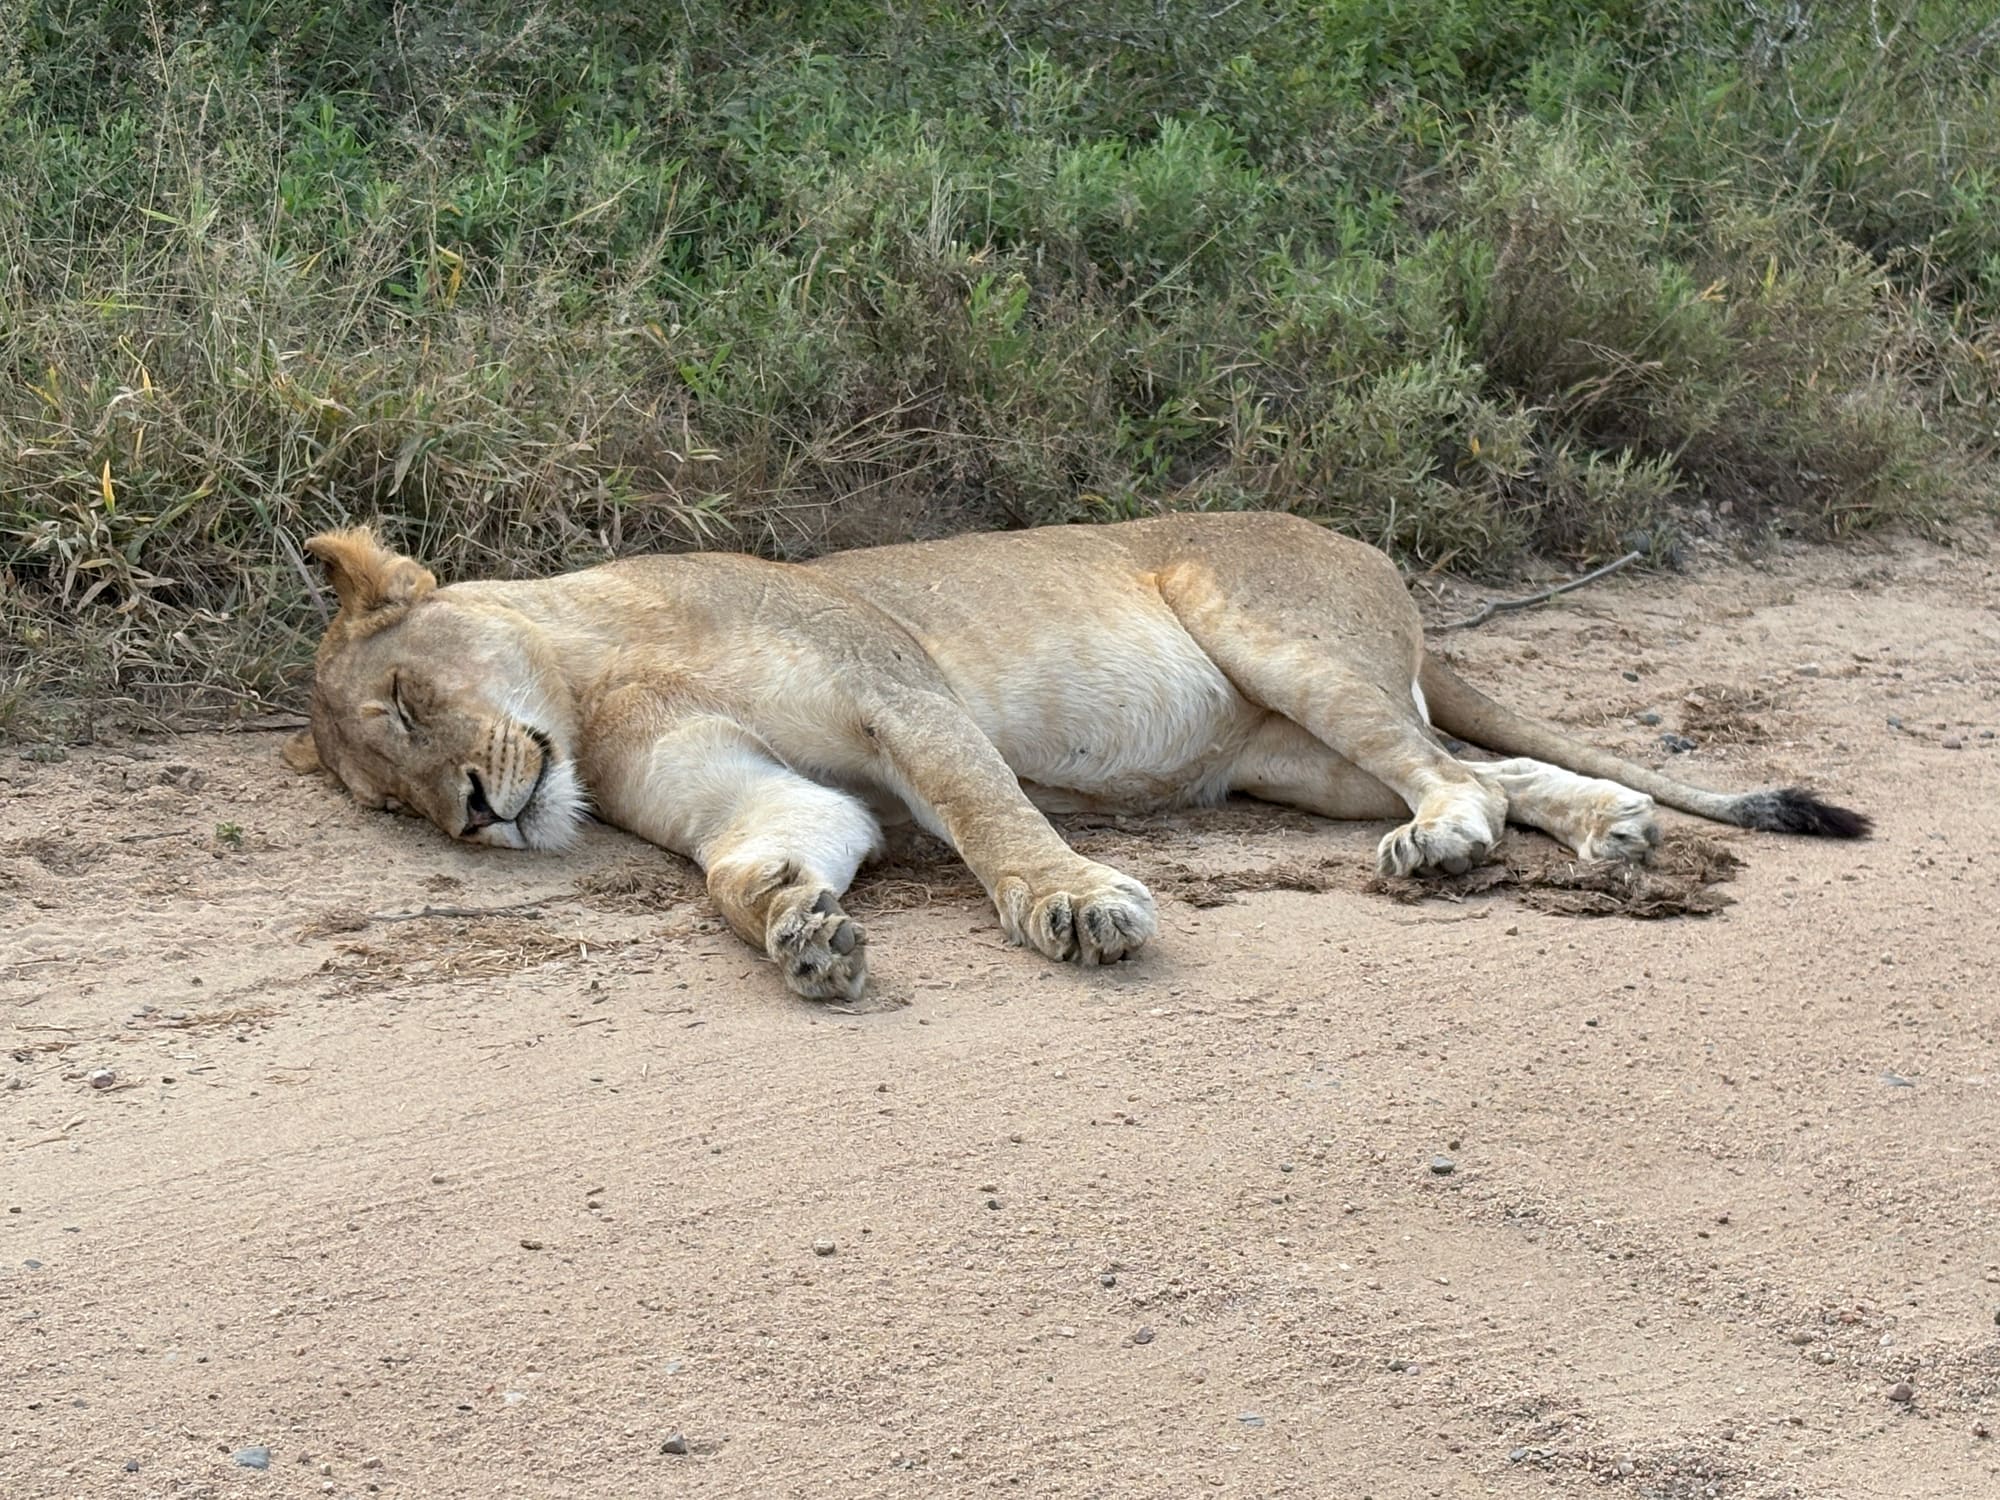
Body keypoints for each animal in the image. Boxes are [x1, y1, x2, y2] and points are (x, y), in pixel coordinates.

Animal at [285, 512, 1867, 1000]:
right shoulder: (767, 790)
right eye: (392, 804)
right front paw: (804, 930)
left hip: (1266, 628)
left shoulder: (898, 696)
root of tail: (1366, 548)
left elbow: (993, 819)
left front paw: (1074, 909)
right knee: (1499, 772)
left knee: (1462, 777)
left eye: (408, 704)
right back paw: (1609, 836)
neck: (597, 682)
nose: (478, 817)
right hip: (1289, 757)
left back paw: (1446, 852)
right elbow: (749, 867)